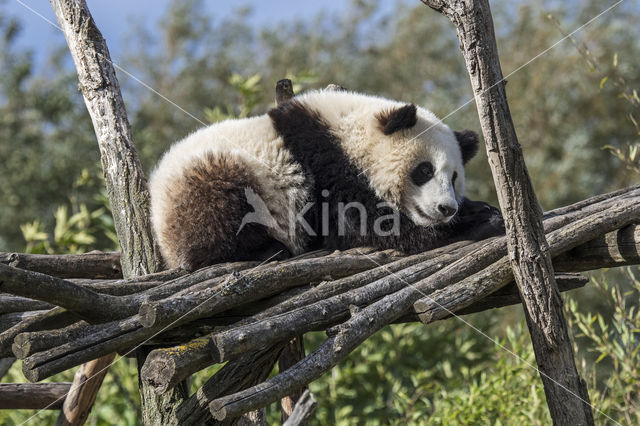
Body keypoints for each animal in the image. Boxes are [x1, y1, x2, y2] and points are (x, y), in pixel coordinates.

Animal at [148, 90, 502, 270]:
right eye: (425, 171)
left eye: (454, 177)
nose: (446, 208)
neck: (350, 133)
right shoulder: (323, 165)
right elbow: (370, 224)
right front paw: (477, 221)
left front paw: (483, 209)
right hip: (211, 178)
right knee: (222, 213)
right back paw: (265, 250)